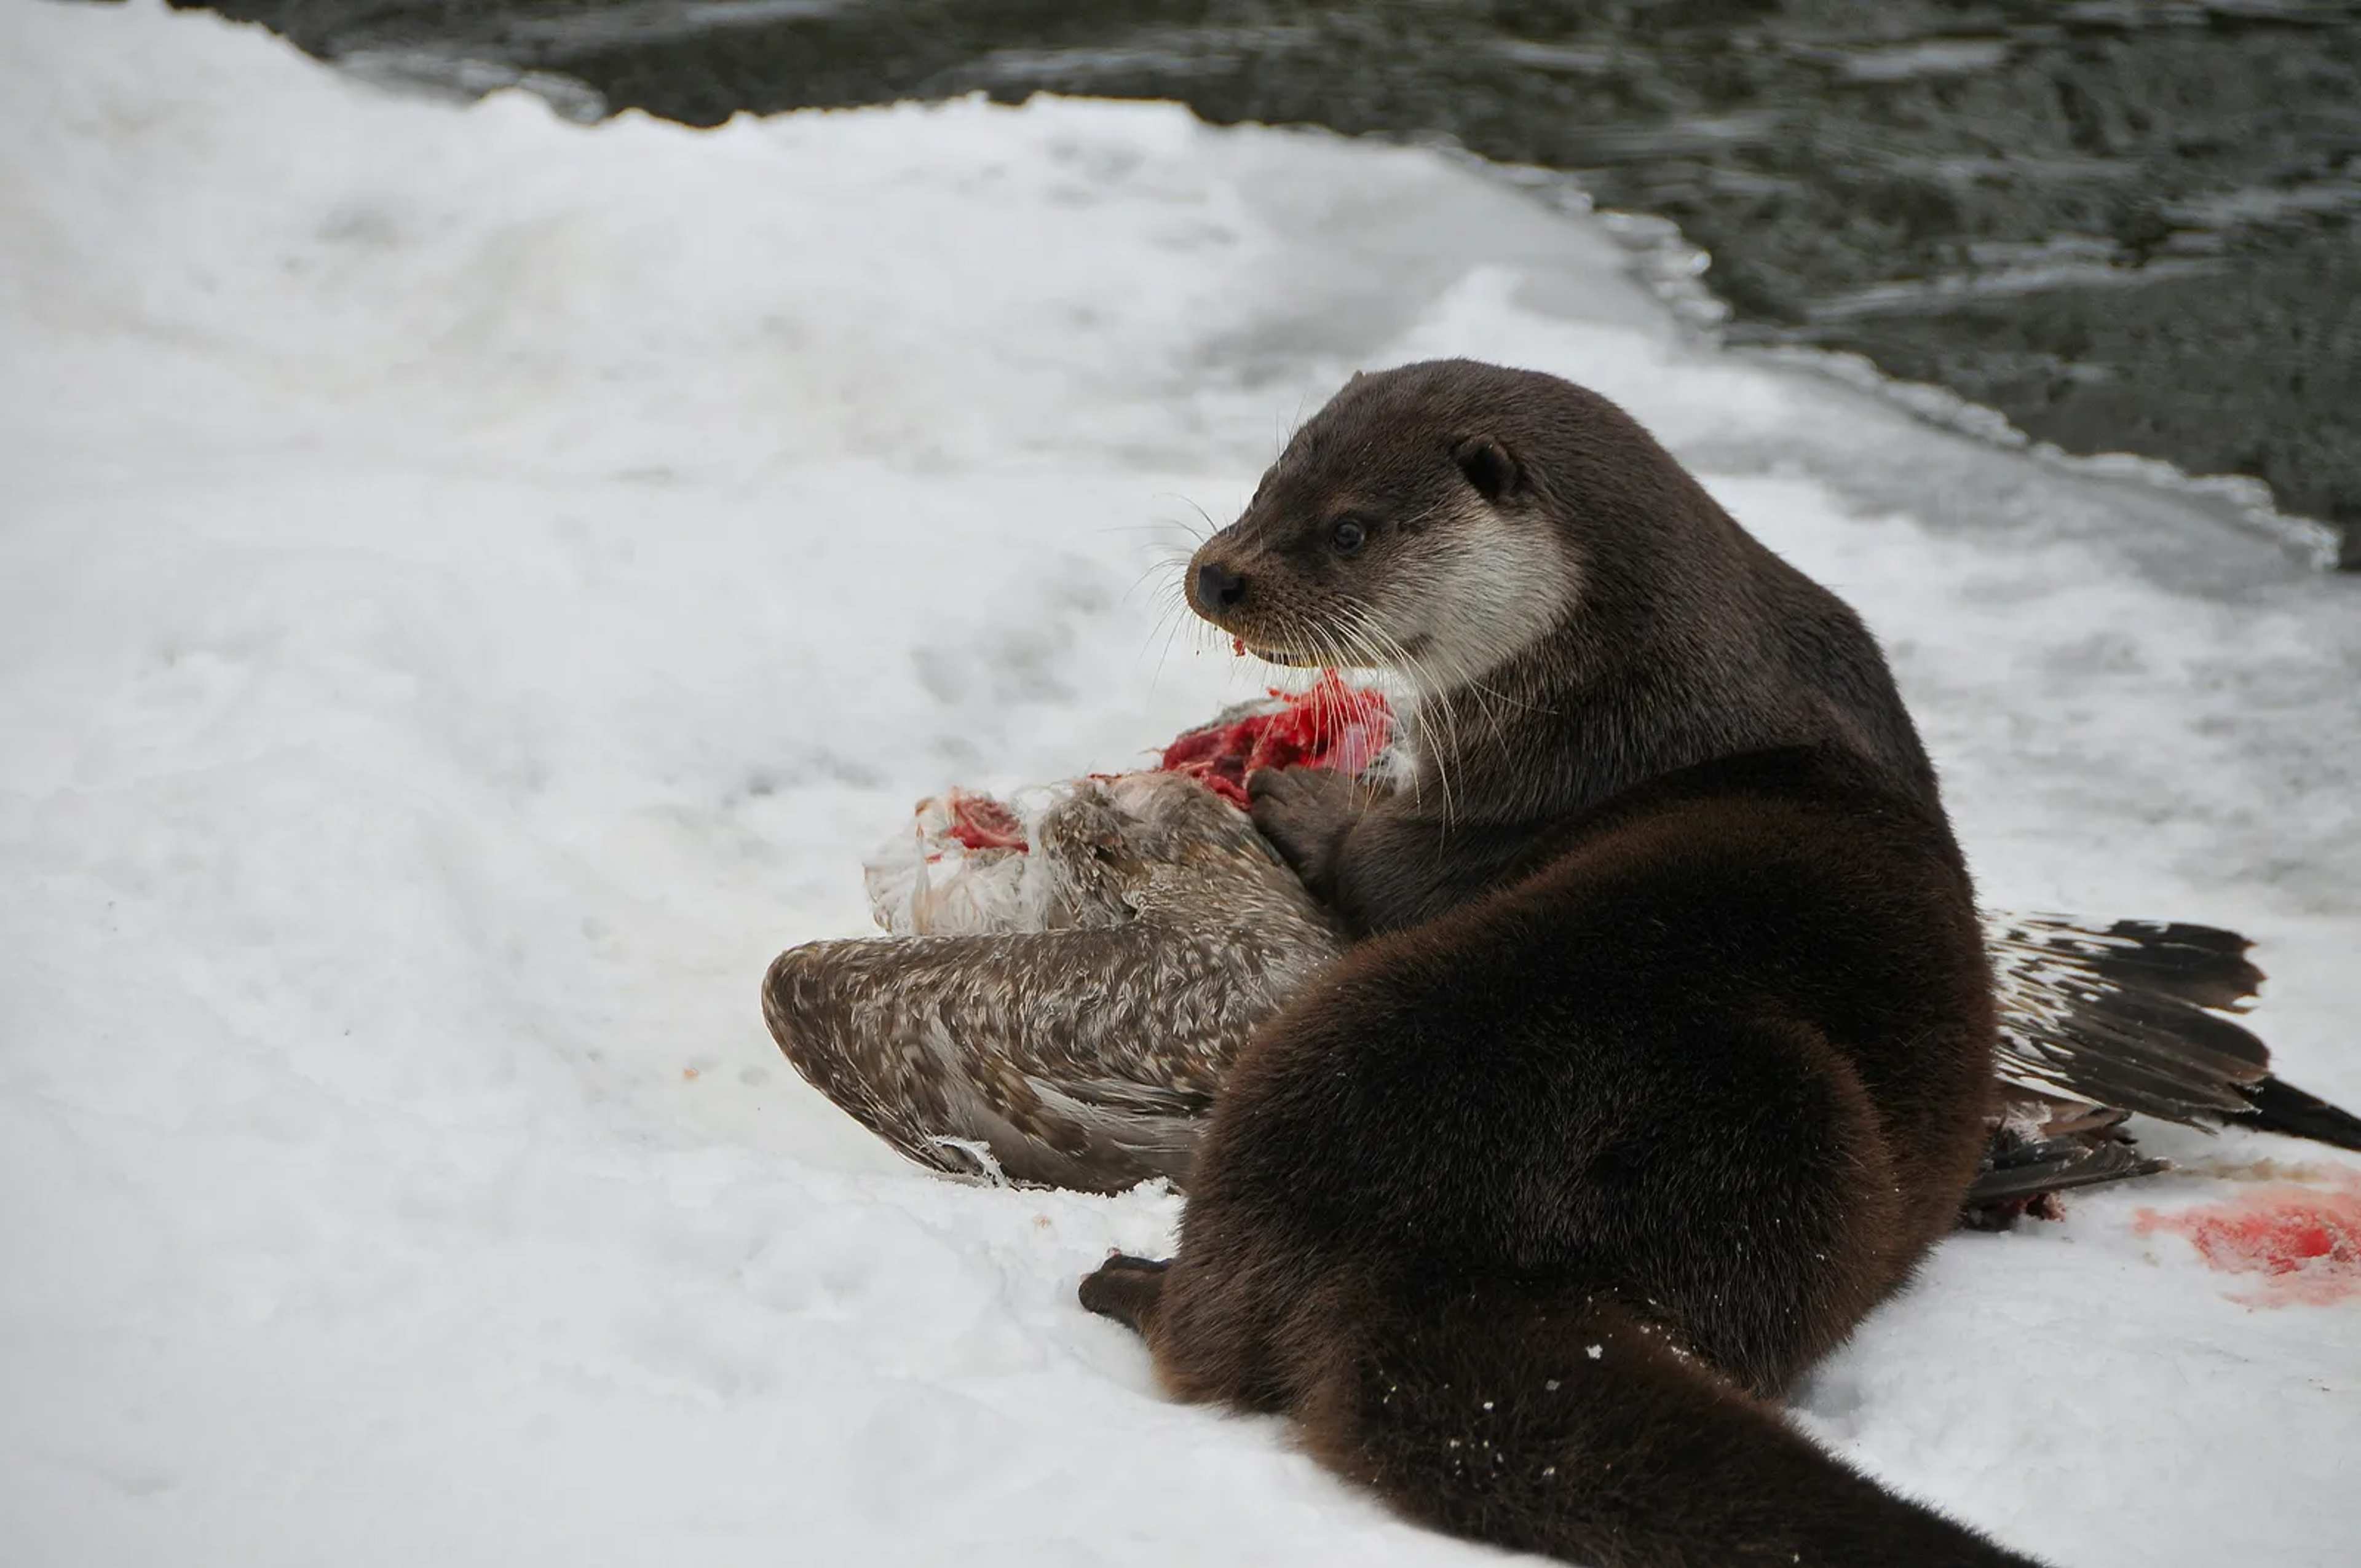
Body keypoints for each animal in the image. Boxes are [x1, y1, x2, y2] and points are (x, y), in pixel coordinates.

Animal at [1078, 360, 2052, 1566]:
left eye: (1351, 530)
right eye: (1269, 482)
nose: (1220, 572)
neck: (1633, 688)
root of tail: (1426, 1242)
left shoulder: (1521, 793)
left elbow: (1387, 871)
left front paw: (1300, 795)